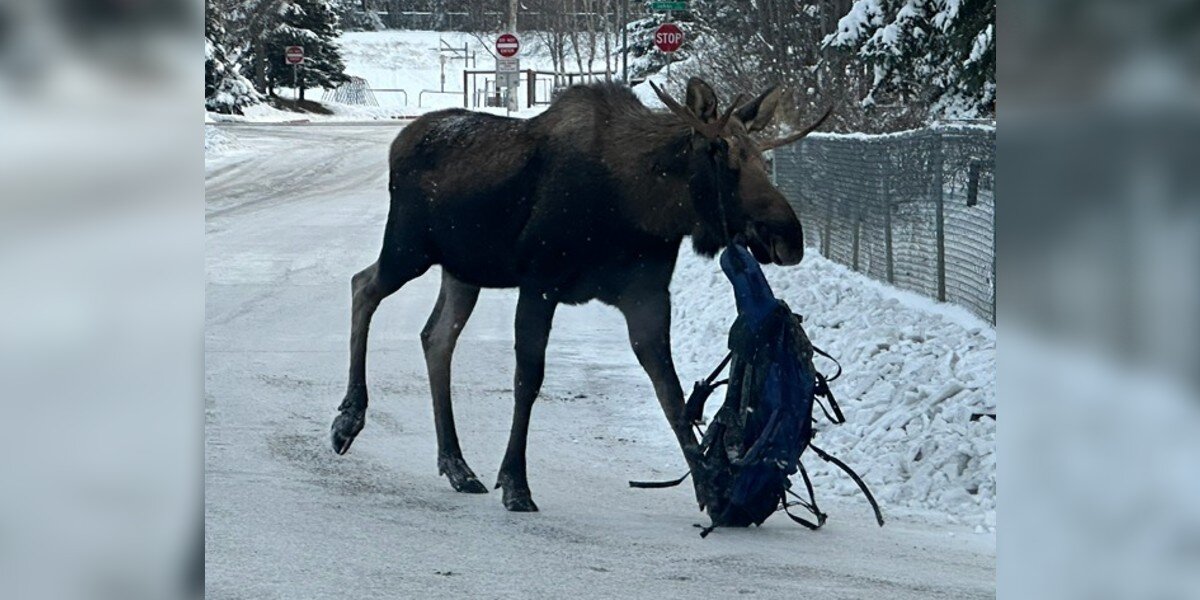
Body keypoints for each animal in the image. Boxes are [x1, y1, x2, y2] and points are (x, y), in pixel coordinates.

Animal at [330, 77, 829, 513]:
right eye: (720, 153)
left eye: (763, 158)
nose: (788, 237)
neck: (644, 207)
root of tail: (398, 141)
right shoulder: (540, 282)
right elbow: (528, 380)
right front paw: (516, 483)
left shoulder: (646, 295)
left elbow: (672, 393)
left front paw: (710, 487)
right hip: (408, 248)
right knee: (362, 286)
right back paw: (348, 420)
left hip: (461, 271)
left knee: (435, 338)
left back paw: (456, 465)